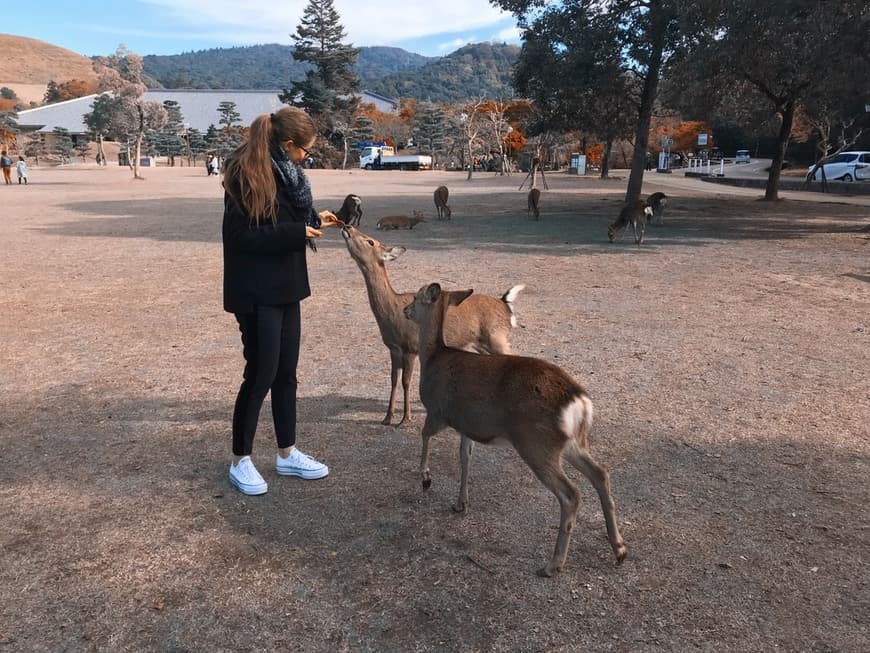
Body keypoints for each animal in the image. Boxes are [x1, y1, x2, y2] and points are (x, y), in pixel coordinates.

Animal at [342, 224, 524, 428]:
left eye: (371, 241)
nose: (348, 226)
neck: (391, 315)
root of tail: (506, 305)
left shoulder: (410, 348)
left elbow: (406, 381)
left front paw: (405, 419)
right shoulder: (393, 348)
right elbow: (393, 380)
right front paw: (387, 418)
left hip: (498, 337)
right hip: (482, 344)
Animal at [406, 284, 632, 576]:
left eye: (415, 297)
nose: (405, 310)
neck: (433, 357)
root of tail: (579, 400)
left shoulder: (438, 411)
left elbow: (424, 436)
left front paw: (425, 478)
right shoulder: (468, 424)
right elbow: (465, 457)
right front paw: (460, 503)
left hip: (535, 443)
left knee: (571, 494)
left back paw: (553, 564)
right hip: (573, 442)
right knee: (600, 474)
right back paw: (619, 548)